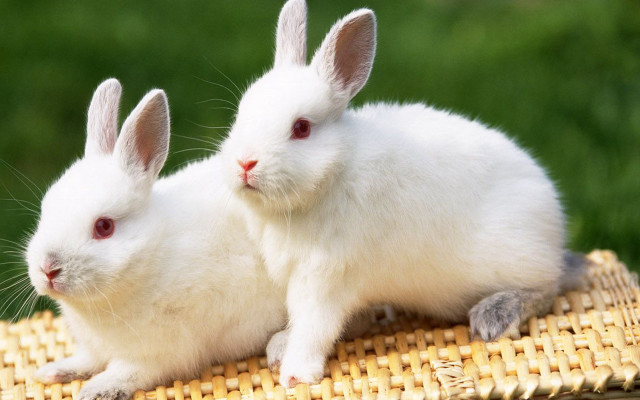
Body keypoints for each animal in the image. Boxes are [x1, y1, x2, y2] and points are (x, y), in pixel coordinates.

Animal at [25, 79, 288, 400]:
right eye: (46, 209)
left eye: (104, 227)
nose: (48, 268)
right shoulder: (93, 348)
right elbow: (87, 360)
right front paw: (55, 371)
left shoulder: (158, 354)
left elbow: (128, 372)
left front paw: (97, 389)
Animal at [219, 0, 581, 388]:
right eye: (240, 114)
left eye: (301, 128)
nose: (244, 163)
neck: (333, 175)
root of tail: (554, 222)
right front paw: (279, 346)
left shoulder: (325, 277)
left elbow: (314, 327)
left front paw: (296, 374)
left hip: (519, 259)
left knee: (547, 289)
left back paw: (494, 316)